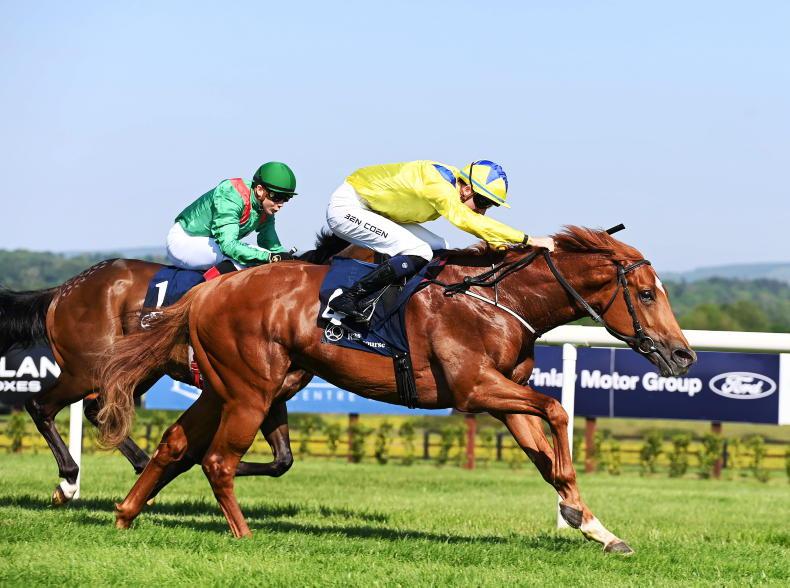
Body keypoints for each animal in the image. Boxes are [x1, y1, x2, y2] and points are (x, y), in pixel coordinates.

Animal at [0, 231, 353, 504]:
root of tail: (64, 290)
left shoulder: (272, 393)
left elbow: (283, 460)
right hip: (85, 368)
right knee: (41, 406)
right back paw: (69, 481)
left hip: (139, 369)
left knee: (95, 409)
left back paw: (140, 466)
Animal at [97, 226, 696, 554]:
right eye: (646, 294)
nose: (683, 354)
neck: (499, 300)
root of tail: (205, 294)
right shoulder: (475, 388)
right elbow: (557, 410)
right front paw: (578, 514)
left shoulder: (504, 393)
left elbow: (547, 457)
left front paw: (595, 526)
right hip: (251, 390)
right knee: (218, 460)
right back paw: (242, 533)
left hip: (232, 386)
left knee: (177, 444)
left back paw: (125, 515)